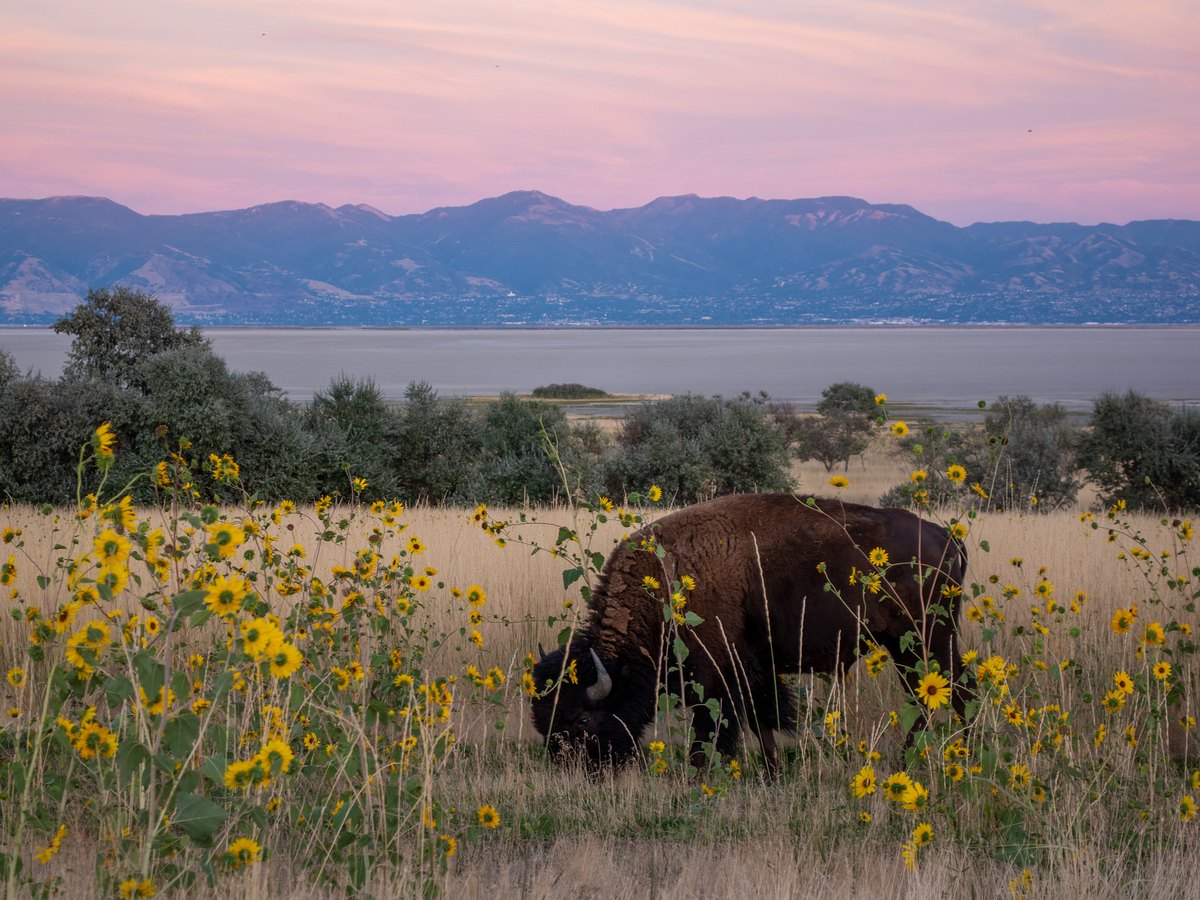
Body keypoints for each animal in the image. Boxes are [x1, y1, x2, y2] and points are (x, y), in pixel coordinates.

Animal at [531, 492, 967, 776]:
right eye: (543, 720)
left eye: (583, 719)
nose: (573, 771)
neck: (665, 585)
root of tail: (946, 539)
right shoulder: (755, 671)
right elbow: (762, 723)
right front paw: (772, 774)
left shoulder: (718, 676)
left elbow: (713, 729)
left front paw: (703, 776)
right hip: (906, 646)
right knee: (931, 696)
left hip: (927, 640)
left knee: (952, 692)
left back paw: (926, 759)